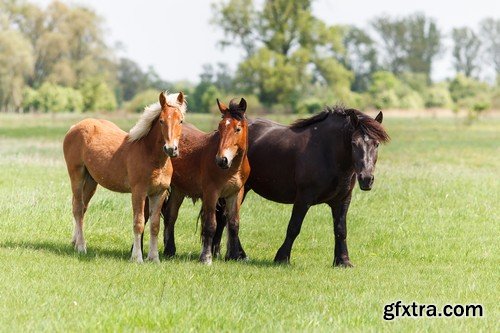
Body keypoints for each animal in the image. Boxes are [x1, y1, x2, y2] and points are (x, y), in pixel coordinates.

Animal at [63, 91, 186, 262]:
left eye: (181, 120)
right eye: (161, 121)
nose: (171, 149)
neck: (151, 156)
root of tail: (74, 127)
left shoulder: (158, 193)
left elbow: (155, 226)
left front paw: (154, 258)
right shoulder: (139, 192)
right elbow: (138, 223)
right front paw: (137, 258)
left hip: (91, 181)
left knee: (81, 207)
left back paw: (75, 242)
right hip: (77, 175)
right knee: (78, 208)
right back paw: (81, 247)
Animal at [149, 97, 249, 264]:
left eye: (238, 129)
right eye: (220, 127)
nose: (221, 160)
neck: (232, 168)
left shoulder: (235, 194)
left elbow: (234, 224)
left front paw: (234, 256)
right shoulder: (211, 193)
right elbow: (210, 225)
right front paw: (206, 258)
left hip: (178, 191)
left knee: (170, 216)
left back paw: (170, 250)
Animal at [164, 105, 390, 266]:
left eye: (376, 144)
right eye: (354, 143)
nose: (366, 179)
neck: (327, 152)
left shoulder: (342, 201)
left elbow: (341, 230)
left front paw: (343, 261)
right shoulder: (303, 198)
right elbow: (294, 227)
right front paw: (282, 257)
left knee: (223, 219)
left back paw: (222, 253)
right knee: (225, 219)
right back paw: (234, 254)